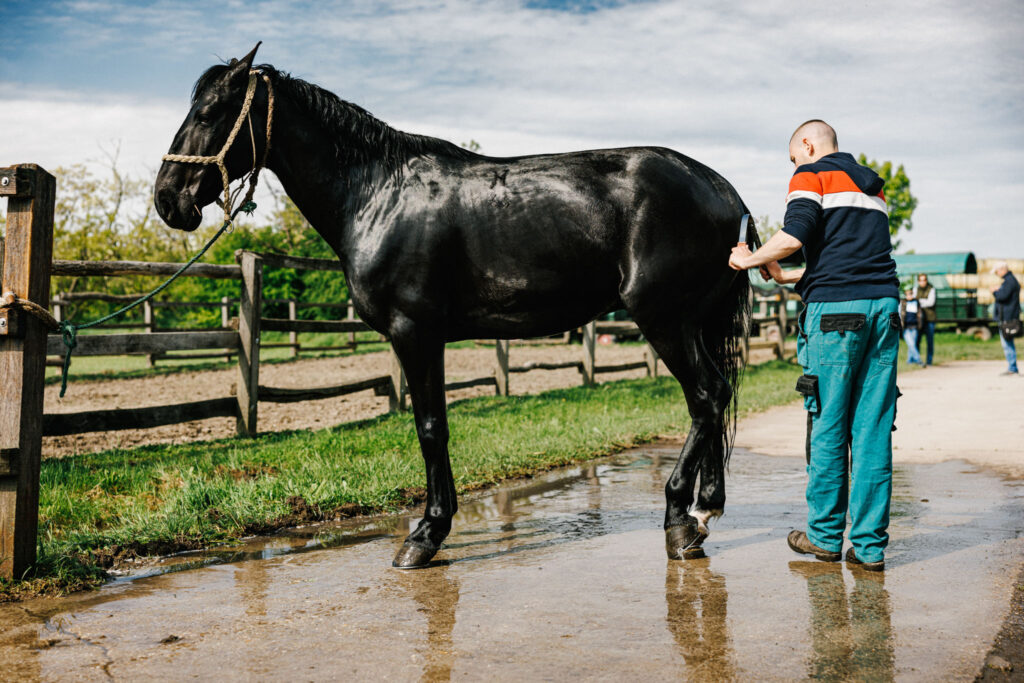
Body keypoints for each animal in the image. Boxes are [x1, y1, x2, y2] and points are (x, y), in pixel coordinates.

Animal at [153, 45, 761, 569]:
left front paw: (425, 534)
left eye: (209, 111)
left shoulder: (414, 332)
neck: (377, 194)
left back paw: (679, 519)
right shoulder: (429, 337)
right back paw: (704, 509)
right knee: (716, 398)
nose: (167, 200)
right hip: (692, 322)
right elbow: (437, 425)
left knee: (706, 397)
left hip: (663, 318)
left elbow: (429, 427)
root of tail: (722, 189)